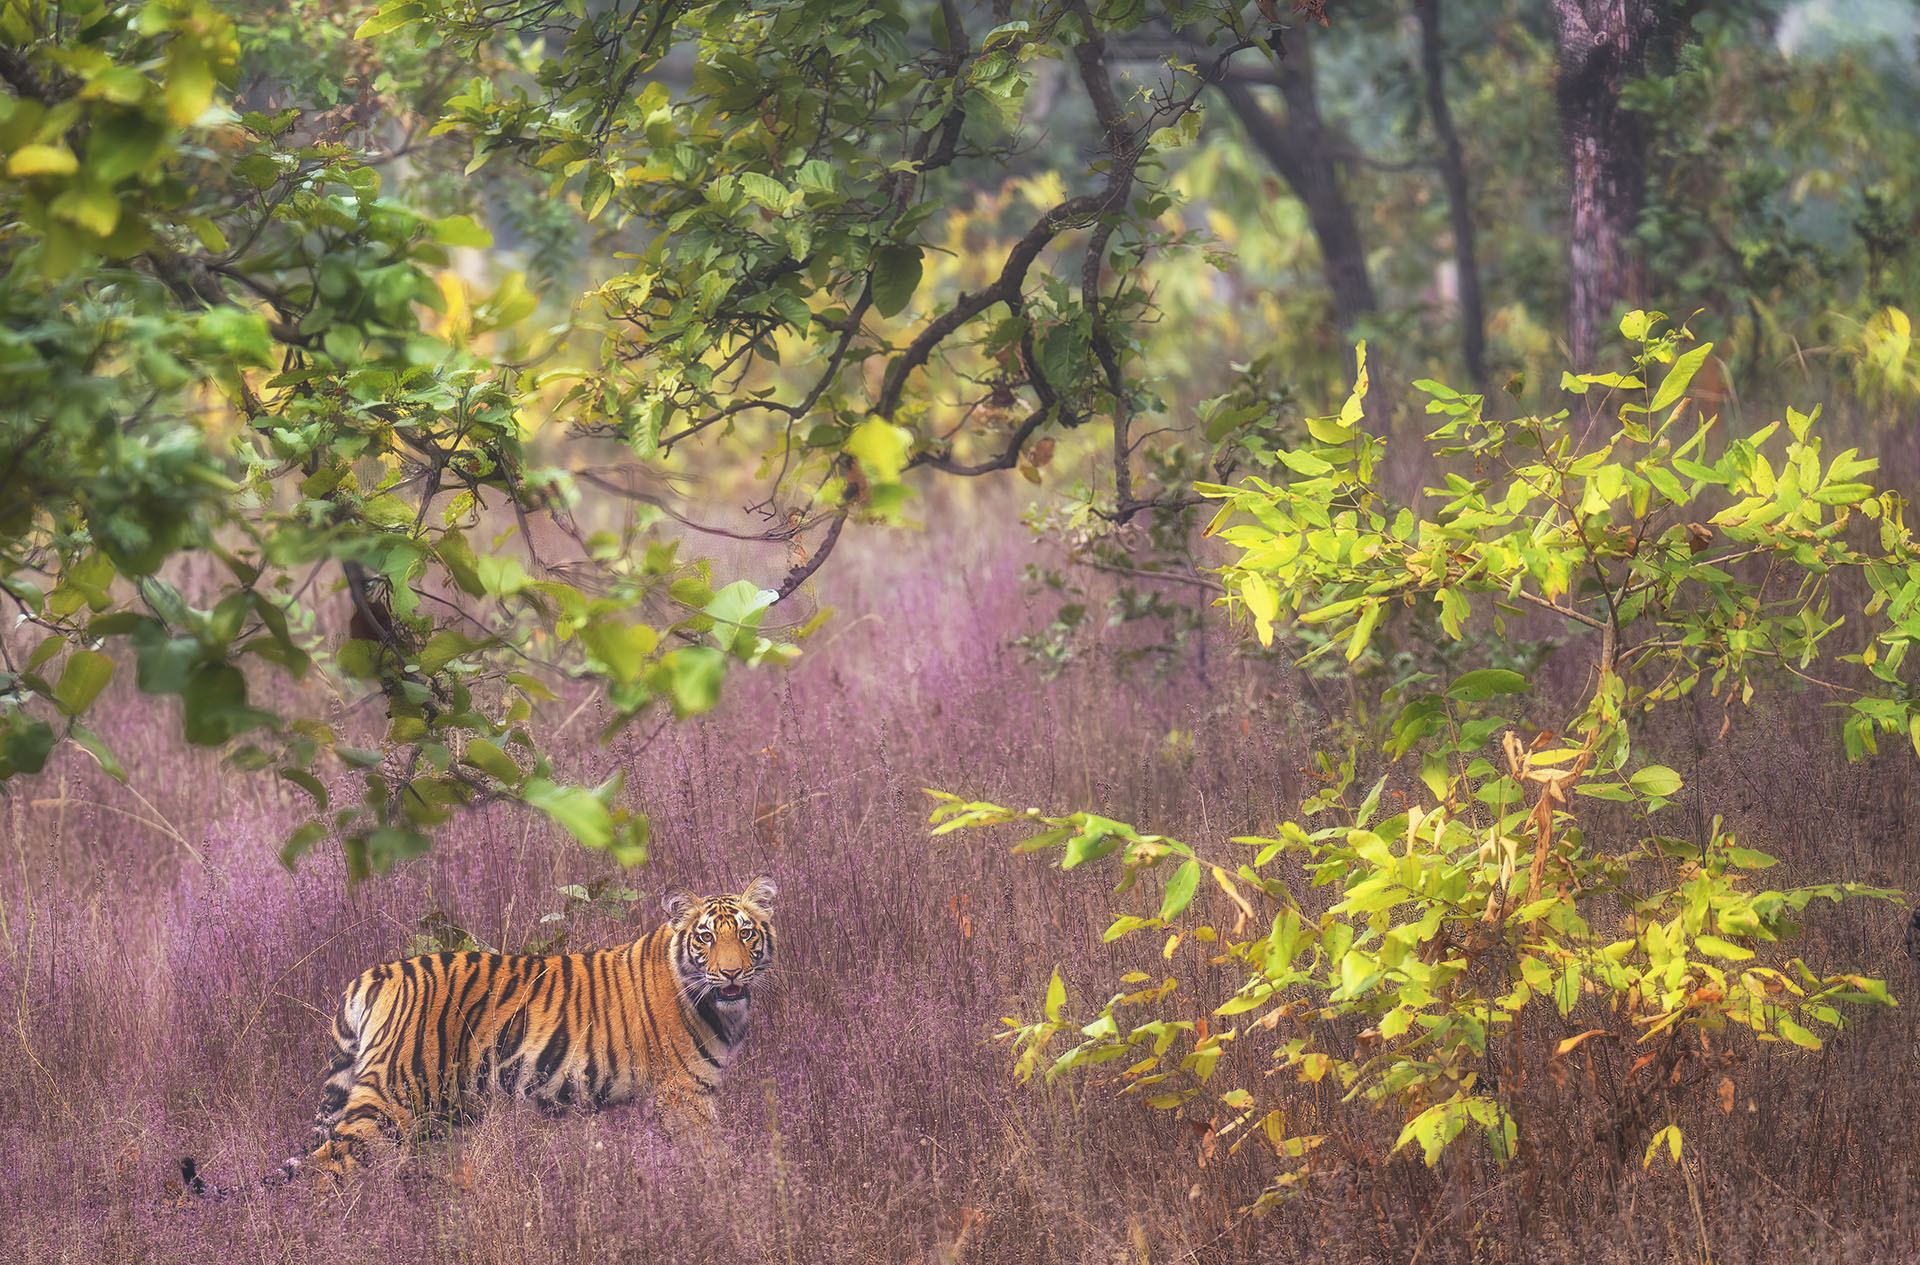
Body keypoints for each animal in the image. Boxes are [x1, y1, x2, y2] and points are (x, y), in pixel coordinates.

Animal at [182, 877, 777, 1193]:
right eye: (706, 938)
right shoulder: (685, 1095)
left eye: (746, 935)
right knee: (329, 1163)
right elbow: (713, 1163)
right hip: (391, 1097)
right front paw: (727, 1206)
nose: (730, 973)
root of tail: (373, 974)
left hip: (440, 1112)